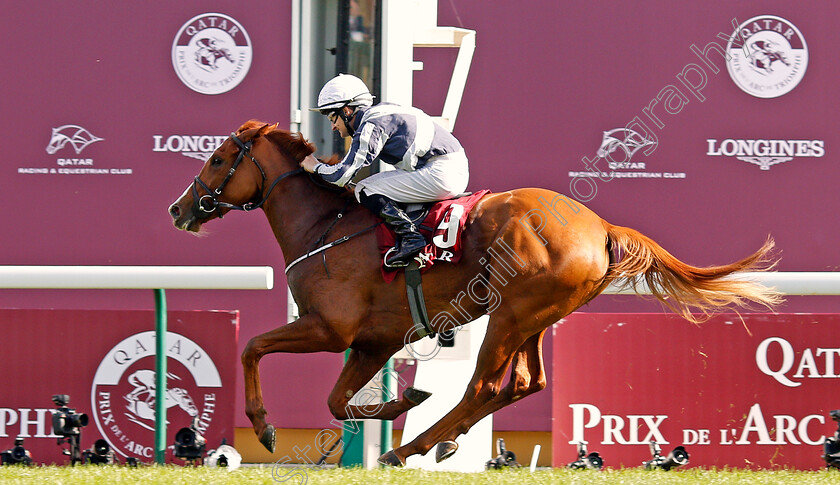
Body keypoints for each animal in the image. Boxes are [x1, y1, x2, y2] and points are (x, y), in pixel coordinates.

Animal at [169, 120, 780, 466]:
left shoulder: (329, 329)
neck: (326, 225)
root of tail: (600, 226)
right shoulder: (372, 342)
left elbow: (252, 348)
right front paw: (401, 400)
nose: (179, 209)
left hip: (509, 315)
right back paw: (436, 440)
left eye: (217, 159)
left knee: (484, 385)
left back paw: (410, 448)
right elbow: (337, 401)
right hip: (533, 317)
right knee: (527, 382)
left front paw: (266, 428)